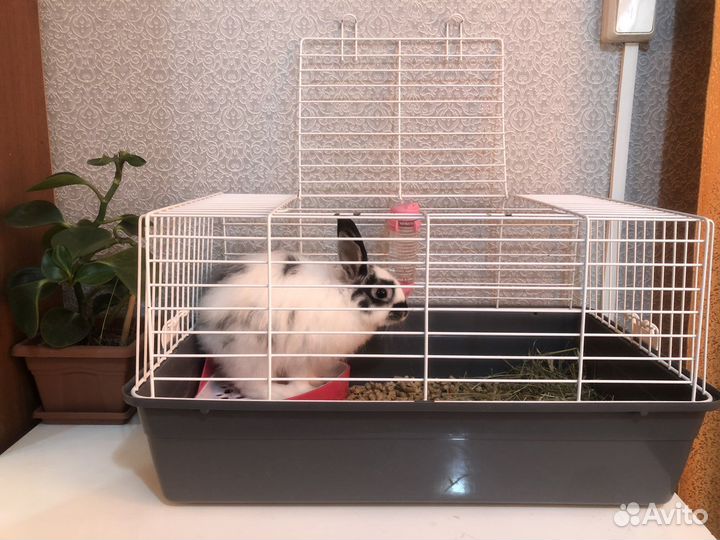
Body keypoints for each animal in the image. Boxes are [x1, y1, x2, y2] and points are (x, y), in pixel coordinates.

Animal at [196, 219, 409, 399]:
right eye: (381, 292)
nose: (406, 311)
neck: (345, 299)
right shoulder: (304, 355)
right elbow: (300, 377)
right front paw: (307, 387)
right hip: (253, 354)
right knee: (252, 385)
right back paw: (283, 392)